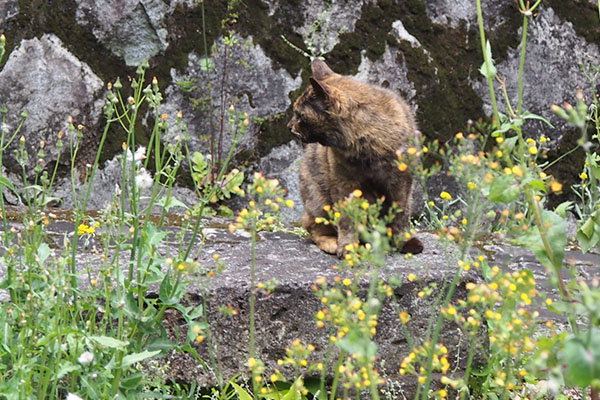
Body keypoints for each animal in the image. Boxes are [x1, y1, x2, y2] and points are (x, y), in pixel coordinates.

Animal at [288, 59, 422, 260]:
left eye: (300, 115)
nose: (289, 126)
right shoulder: (344, 183)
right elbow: (347, 219)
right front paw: (348, 247)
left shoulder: (402, 183)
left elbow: (400, 214)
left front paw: (401, 242)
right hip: (318, 200)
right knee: (314, 228)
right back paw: (334, 243)